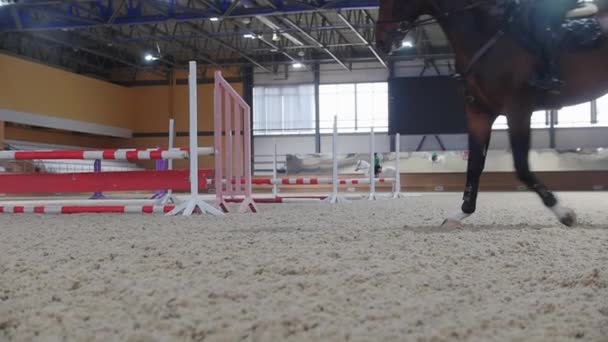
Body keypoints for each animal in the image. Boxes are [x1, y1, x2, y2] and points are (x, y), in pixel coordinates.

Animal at [378, 0, 608, 230]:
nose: (381, 42)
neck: (484, 33)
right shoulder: (479, 113)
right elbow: (474, 166)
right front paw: (461, 213)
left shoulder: (517, 109)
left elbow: (521, 167)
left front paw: (564, 213)